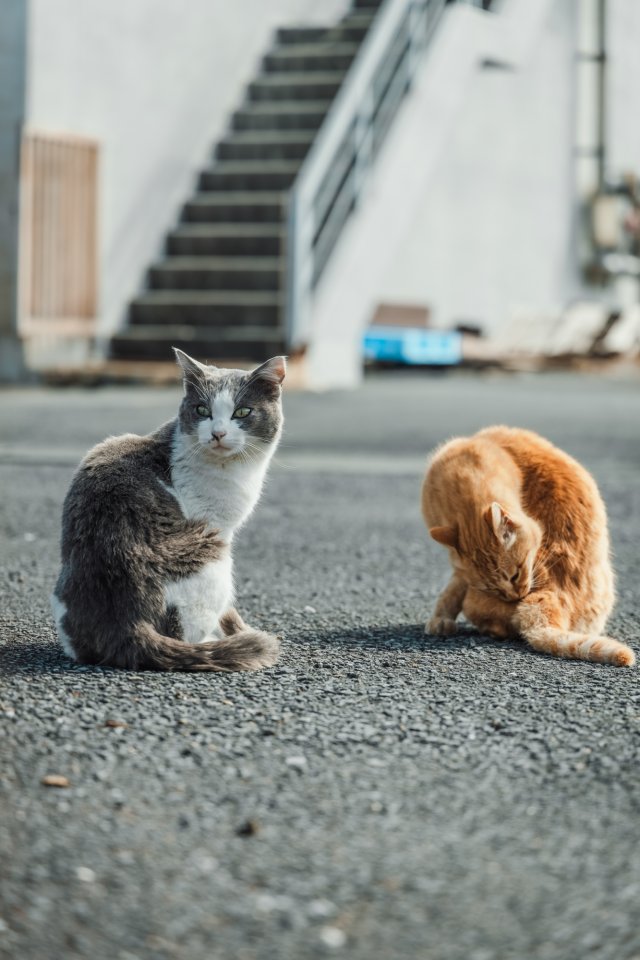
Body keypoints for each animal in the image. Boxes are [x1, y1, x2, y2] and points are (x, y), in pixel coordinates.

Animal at [51, 348, 286, 672]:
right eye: (202, 410)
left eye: (242, 412)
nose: (218, 433)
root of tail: (126, 625)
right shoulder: (216, 525)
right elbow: (229, 610)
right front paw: (243, 631)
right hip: (212, 555)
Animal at [420, 428, 636, 668]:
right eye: (492, 589)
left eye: (515, 575)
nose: (516, 596)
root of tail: (548, 595)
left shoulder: (461, 575)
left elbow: (451, 591)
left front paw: (440, 618)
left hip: (474, 603)